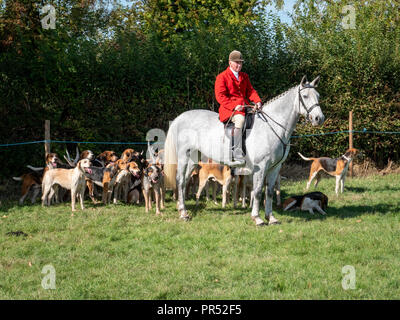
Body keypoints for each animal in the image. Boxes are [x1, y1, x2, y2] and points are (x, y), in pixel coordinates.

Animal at [164, 75, 324, 226]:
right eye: (305, 96)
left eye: (318, 95)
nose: (319, 118)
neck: (271, 126)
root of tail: (179, 118)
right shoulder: (261, 166)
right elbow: (258, 192)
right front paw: (257, 218)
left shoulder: (275, 167)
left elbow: (269, 192)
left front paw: (271, 218)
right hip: (184, 156)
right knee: (180, 180)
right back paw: (183, 213)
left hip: (193, 158)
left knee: (184, 181)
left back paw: (182, 209)